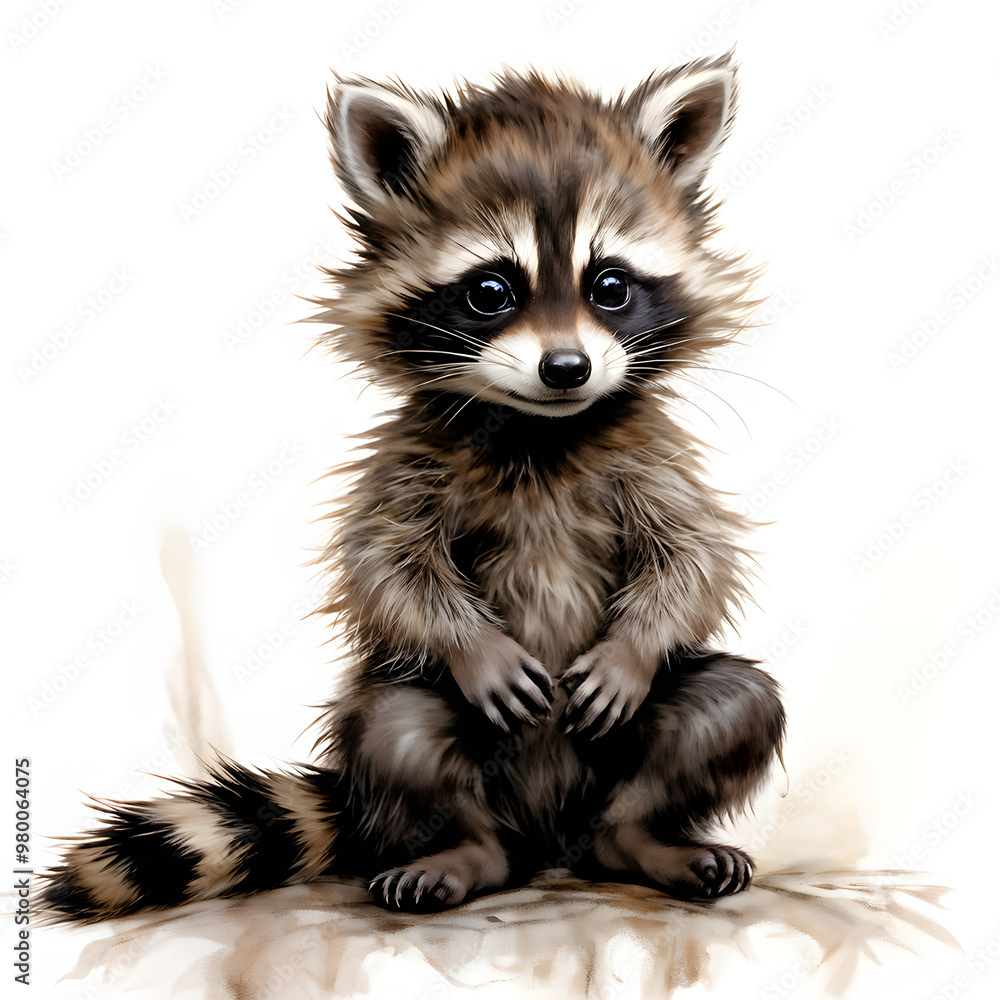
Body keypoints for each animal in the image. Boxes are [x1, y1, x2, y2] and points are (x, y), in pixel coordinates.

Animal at [42, 54, 785, 923]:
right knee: (395, 729)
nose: (566, 369)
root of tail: (549, 840)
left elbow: (695, 554)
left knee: (734, 703)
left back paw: (640, 837)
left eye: (609, 285)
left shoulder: (649, 455)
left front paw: (632, 650)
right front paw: (471, 644)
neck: (539, 427)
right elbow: (385, 561)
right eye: (491, 291)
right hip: (422, 735)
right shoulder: (410, 455)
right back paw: (463, 848)